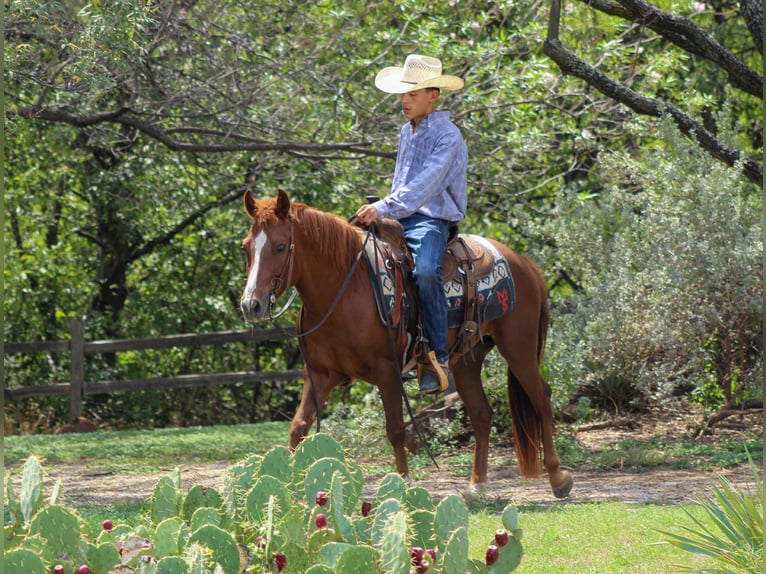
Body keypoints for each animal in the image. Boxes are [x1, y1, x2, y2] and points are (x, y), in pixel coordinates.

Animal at [239, 189, 573, 499]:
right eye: (246, 247)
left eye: (281, 246)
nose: (251, 305)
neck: (345, 290)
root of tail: (524, 263)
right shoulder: (320, 375)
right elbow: (298, 428)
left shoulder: (386, 371)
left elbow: (396, 430)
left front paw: (404, 483)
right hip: (467, 360)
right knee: (482, 414)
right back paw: (476, 485)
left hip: (519, 348)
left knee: (541, 398)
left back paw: (558, 477)